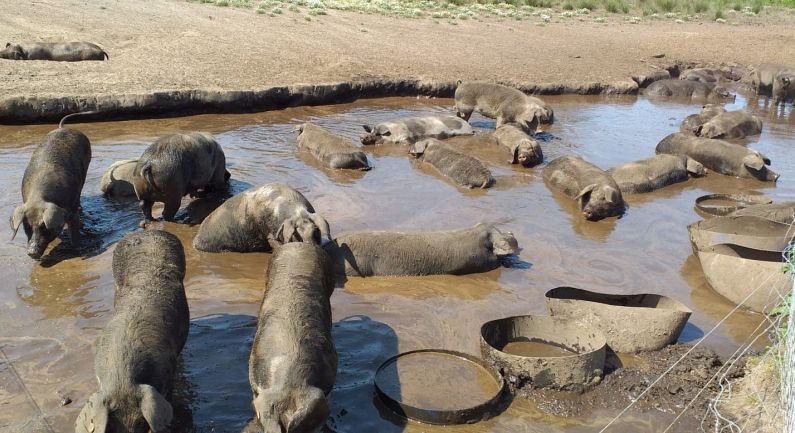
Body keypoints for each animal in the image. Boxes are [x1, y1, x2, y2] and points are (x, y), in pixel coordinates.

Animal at [10, 113, 91, 258]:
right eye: (26, 227)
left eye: (44, 227)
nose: (32, 252)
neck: (39, 198)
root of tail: (62, 127)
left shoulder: (71, 208)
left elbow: (74, 233)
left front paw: (78, 250)